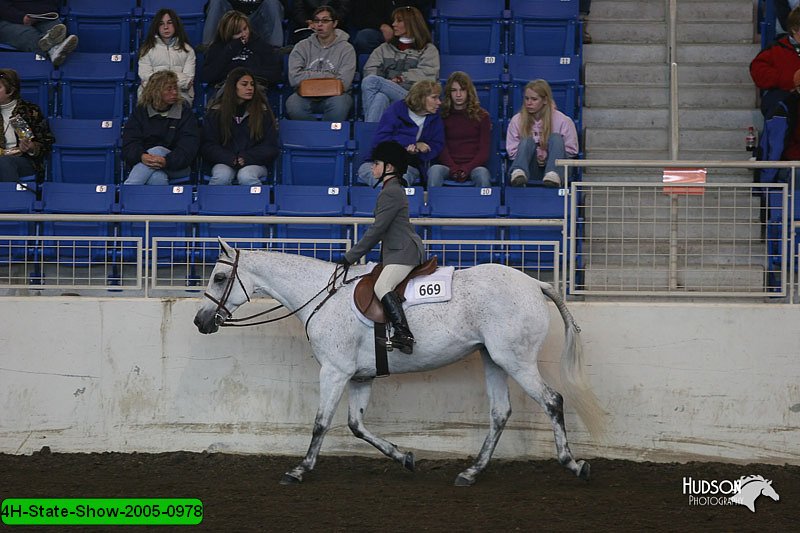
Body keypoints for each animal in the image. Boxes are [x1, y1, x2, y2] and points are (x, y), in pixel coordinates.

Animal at [195, 241, 608, 486]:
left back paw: (574, 464)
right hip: (493, 359)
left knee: (552, 401)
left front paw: (299, 470)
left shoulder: (334, 371)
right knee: (500, 412)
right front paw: (405, 457)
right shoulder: (359, 377)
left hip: (516, 360)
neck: (322, 297)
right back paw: (471, 472)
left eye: (219, 277)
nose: (201, 321)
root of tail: (534, 284)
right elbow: (356, 425)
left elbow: (321, 423)